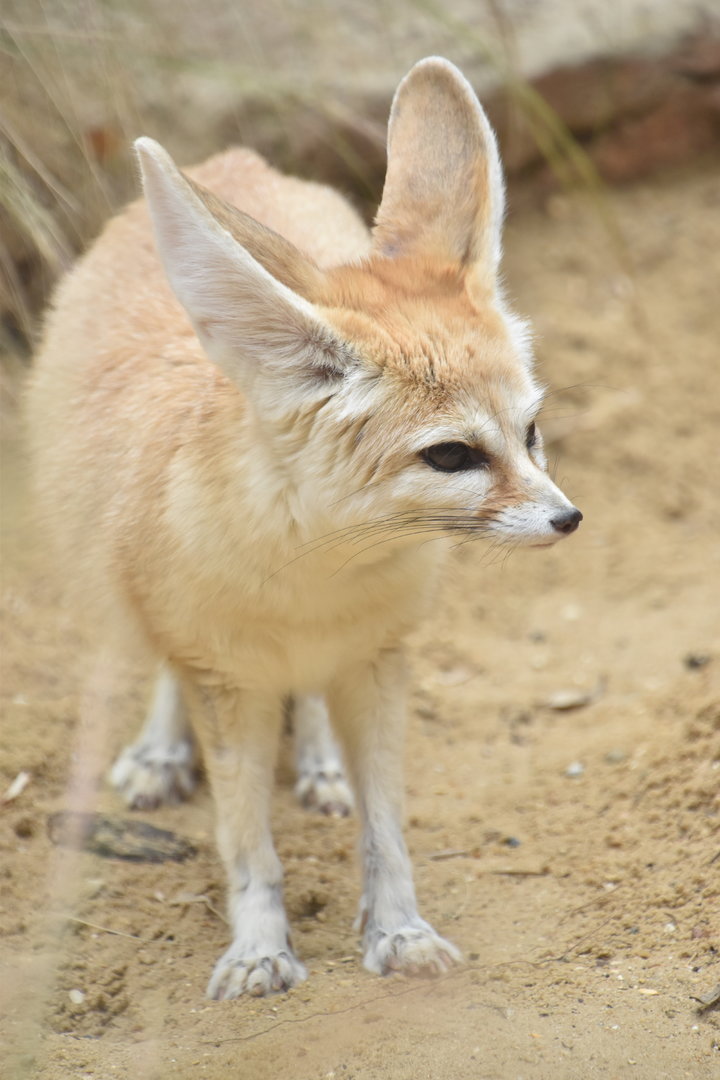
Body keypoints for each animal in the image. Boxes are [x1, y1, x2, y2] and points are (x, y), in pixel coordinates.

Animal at [27, 57, 581, 999]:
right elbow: (246, 844)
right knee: (158, 658)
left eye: (531, 432)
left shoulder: (378, 661)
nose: (567, 518)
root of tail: (235, 157)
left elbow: (386, 830)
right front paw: (259, 950)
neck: (317, 581)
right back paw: (161, 750)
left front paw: (399, 933)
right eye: (452, 455)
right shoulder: (226, 683)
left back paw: (319, 760)